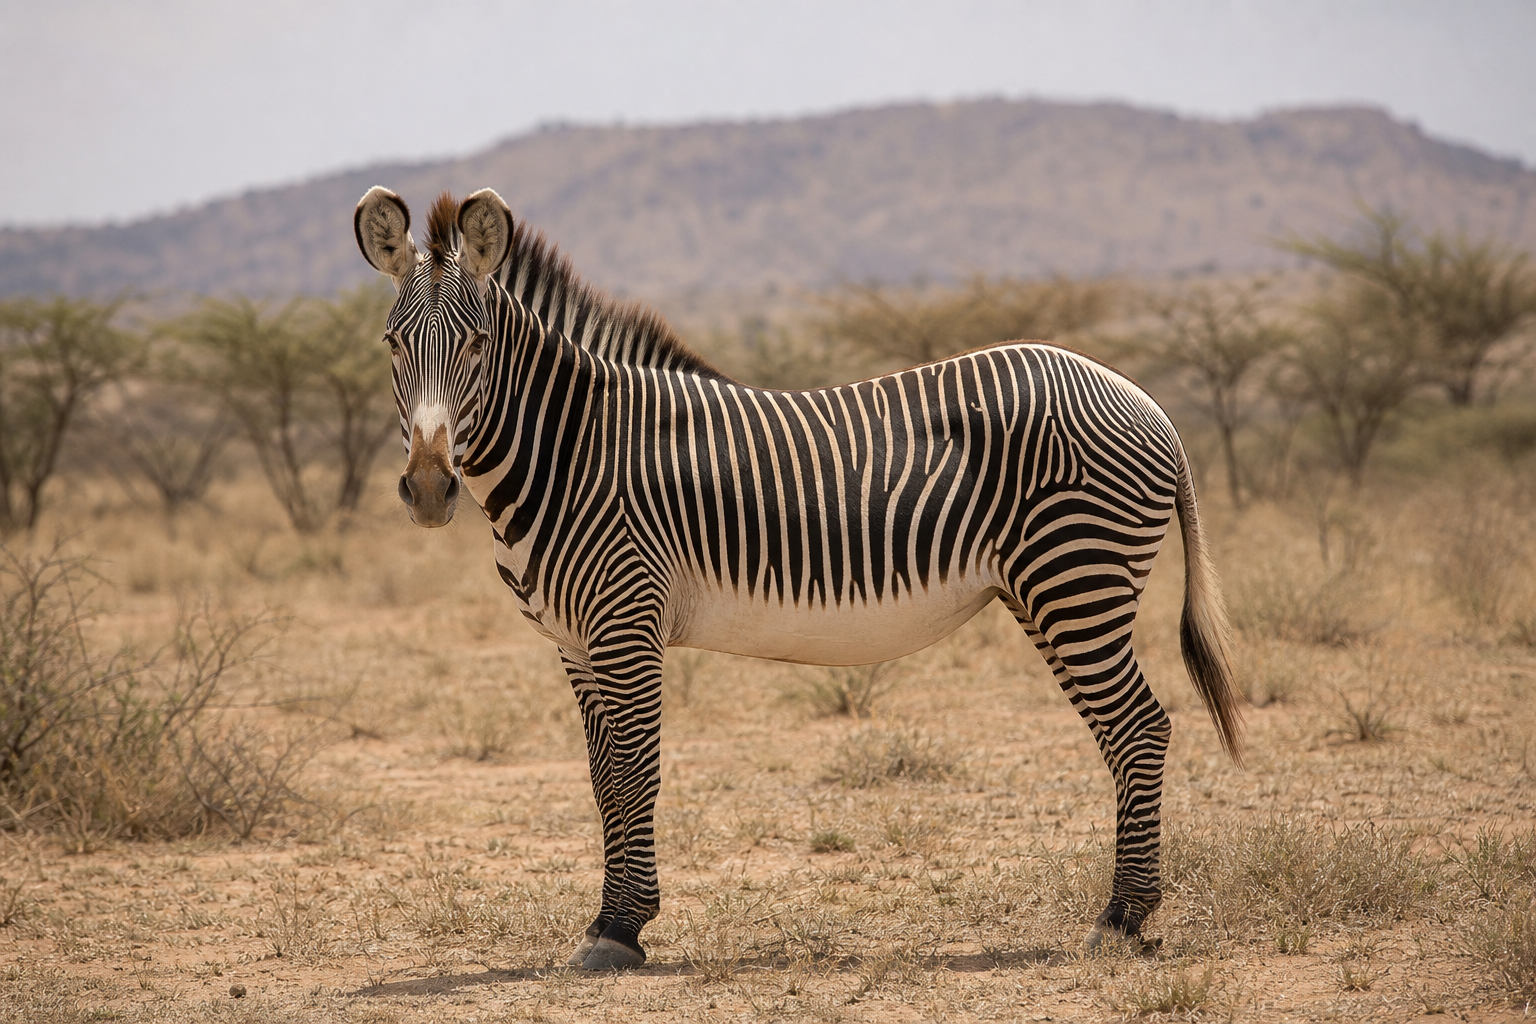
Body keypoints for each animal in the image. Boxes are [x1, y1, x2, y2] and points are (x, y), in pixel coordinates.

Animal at [354, 185, 1244, 971]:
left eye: (475, 346)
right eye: (394, 346)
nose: (429, 490)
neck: (573, 450)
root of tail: (1144, 400)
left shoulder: (626, 620)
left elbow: (637, 771)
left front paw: (621, 929)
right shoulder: (575, 641)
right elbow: (605, 780)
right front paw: (609, 920)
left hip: (1077, 579)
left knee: (1140, 728)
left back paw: (1122, 918)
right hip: (1050, 593)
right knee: (1126, 731)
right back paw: (1129, 912)